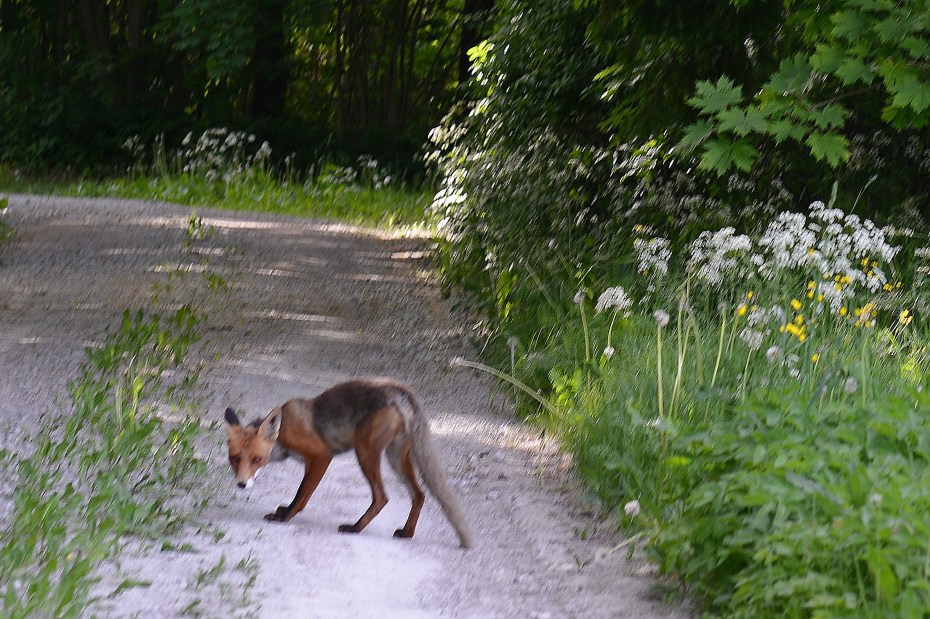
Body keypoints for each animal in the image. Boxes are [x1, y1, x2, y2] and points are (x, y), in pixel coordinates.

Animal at [224, 377, 473, 549]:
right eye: (235, 459)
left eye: (257, 459)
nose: (242, 484)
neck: (283, 434)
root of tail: (397, 388)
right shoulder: (309, 462)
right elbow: (300, 494)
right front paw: (285, 511)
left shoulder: (321, 456)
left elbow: (301, 496)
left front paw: (284, 517)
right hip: (394, 458)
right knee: (419, 494)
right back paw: (407, 533)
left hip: (365, 453)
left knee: (382, 497)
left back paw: (355, 528)